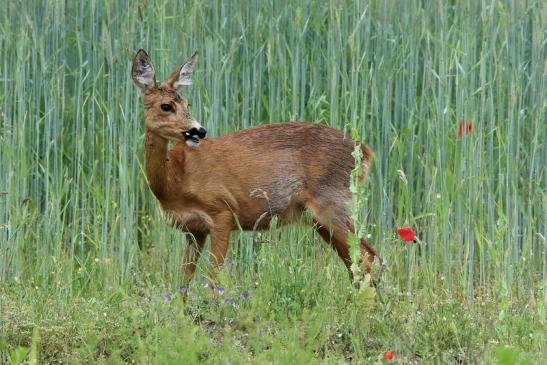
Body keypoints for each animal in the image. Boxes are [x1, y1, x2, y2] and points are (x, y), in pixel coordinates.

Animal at [132, 49, 382, 292]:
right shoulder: (193, 230)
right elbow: (183, 283)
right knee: (356, 264)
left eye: (187, 104)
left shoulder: (222, 211)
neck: (175, 180)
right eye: (166, 106)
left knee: (369, 259)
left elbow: (214, 281)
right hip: (321, 218)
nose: (199, 131)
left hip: (333, 203)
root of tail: (365, 151)